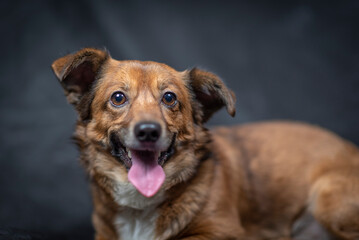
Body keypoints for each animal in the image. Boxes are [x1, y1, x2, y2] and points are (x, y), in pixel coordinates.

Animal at [52, 47, 359, 240]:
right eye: (118, 98)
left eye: (169, 98)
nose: (148, 132)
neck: (141, 205)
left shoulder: (223, 232)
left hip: (328, 201)